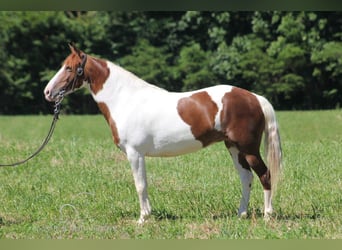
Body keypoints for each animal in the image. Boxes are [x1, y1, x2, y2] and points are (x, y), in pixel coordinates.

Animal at [44, 44, 282, 224]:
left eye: (69, 68)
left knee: (265, 175)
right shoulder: (138, 155)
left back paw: (267, 216)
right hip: (234, 148)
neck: (125, 99)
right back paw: (241, 214)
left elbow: (140, 185)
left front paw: (142, 219)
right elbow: (144, 184)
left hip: (248, 148)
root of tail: (255, 98)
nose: (47, 92)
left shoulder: (135, 154)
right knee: (246, 177)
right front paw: (147, 215)